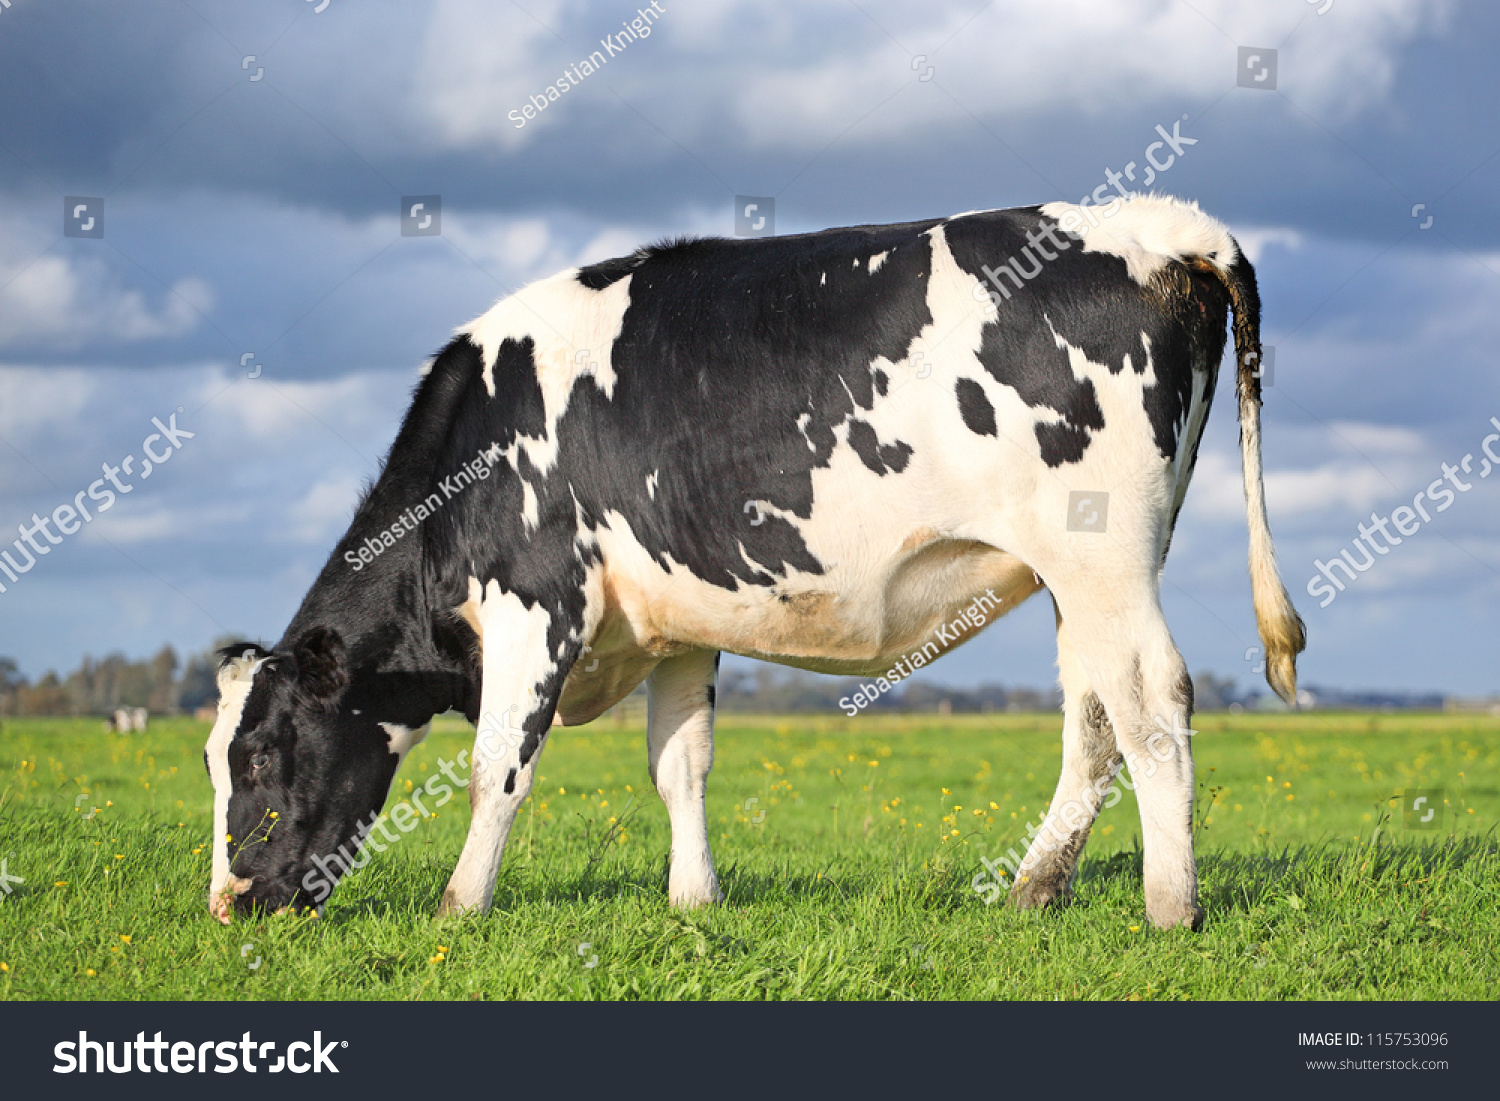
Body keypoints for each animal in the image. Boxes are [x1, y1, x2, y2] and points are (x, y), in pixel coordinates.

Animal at [205, 193, 1308, 930]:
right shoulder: (676, 621)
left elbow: (497, 767)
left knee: (1153, 704)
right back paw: (1037, 888)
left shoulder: (536, 601)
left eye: (257, 755)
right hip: (1080, 573)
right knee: (1094, 714)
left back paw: (1171, 908)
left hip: (1102, 556)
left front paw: (460, 906)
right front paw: (694, 900)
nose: (227, 902)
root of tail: (1157, 225)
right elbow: (679, 764)